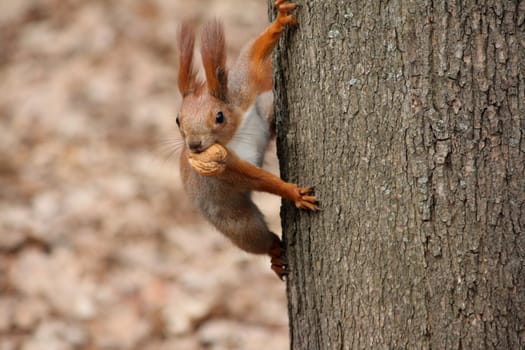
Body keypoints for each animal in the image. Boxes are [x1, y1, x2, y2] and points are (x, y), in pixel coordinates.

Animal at [175, 0, 316, 278]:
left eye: (219, 116)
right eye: (178, 120)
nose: (194, 146)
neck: (234, 134)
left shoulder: (243, 92)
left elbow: (251, 56)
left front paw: (280, 19)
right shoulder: (223, 165)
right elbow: (258, 179)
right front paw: (293, 193)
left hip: (263, 105)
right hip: (236, 221)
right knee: (257, 238)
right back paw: (274, 253)